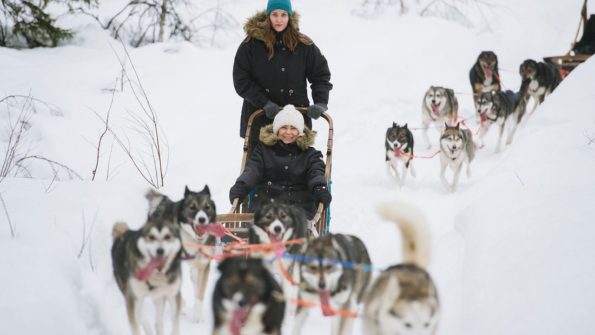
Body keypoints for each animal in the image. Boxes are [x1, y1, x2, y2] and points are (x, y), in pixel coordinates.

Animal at [146, 186, 218, 322]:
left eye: (207, 207)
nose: (202, 219)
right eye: (192, 207)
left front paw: (197, 315)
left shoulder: (203, 265)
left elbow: (199, 292)